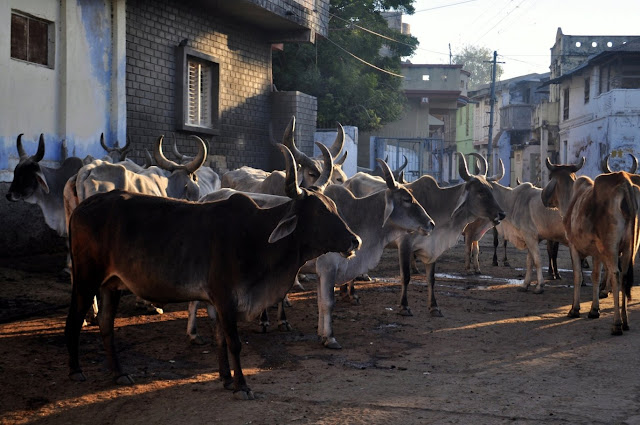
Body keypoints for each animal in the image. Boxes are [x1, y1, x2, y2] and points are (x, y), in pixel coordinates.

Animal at [68, 144, 364, 400]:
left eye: (334, 207)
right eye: (319, 213)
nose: (355, 241)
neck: (256, 236)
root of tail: (82, 207)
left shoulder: (215, 301)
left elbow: (220, 339)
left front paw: (226, 379)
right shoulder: (225, 298)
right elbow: (234, 342)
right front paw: (242, 386)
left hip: (111, 284)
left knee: (106, 324)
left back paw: (119, 373)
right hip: (86, 278)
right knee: (74, 319)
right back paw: (75, 371)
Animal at [540, 157, 640, 332]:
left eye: (550, 176)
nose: (543, 196)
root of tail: (624, 182)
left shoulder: (574, 246)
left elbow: (577, 275)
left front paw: (575, 309)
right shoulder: (597, 252)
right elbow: (595, 275)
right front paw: (594, 310)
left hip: (611, 247)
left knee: (616, 274)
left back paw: (617, 324)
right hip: (630, 249)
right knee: (625, 276)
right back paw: (625, 320)